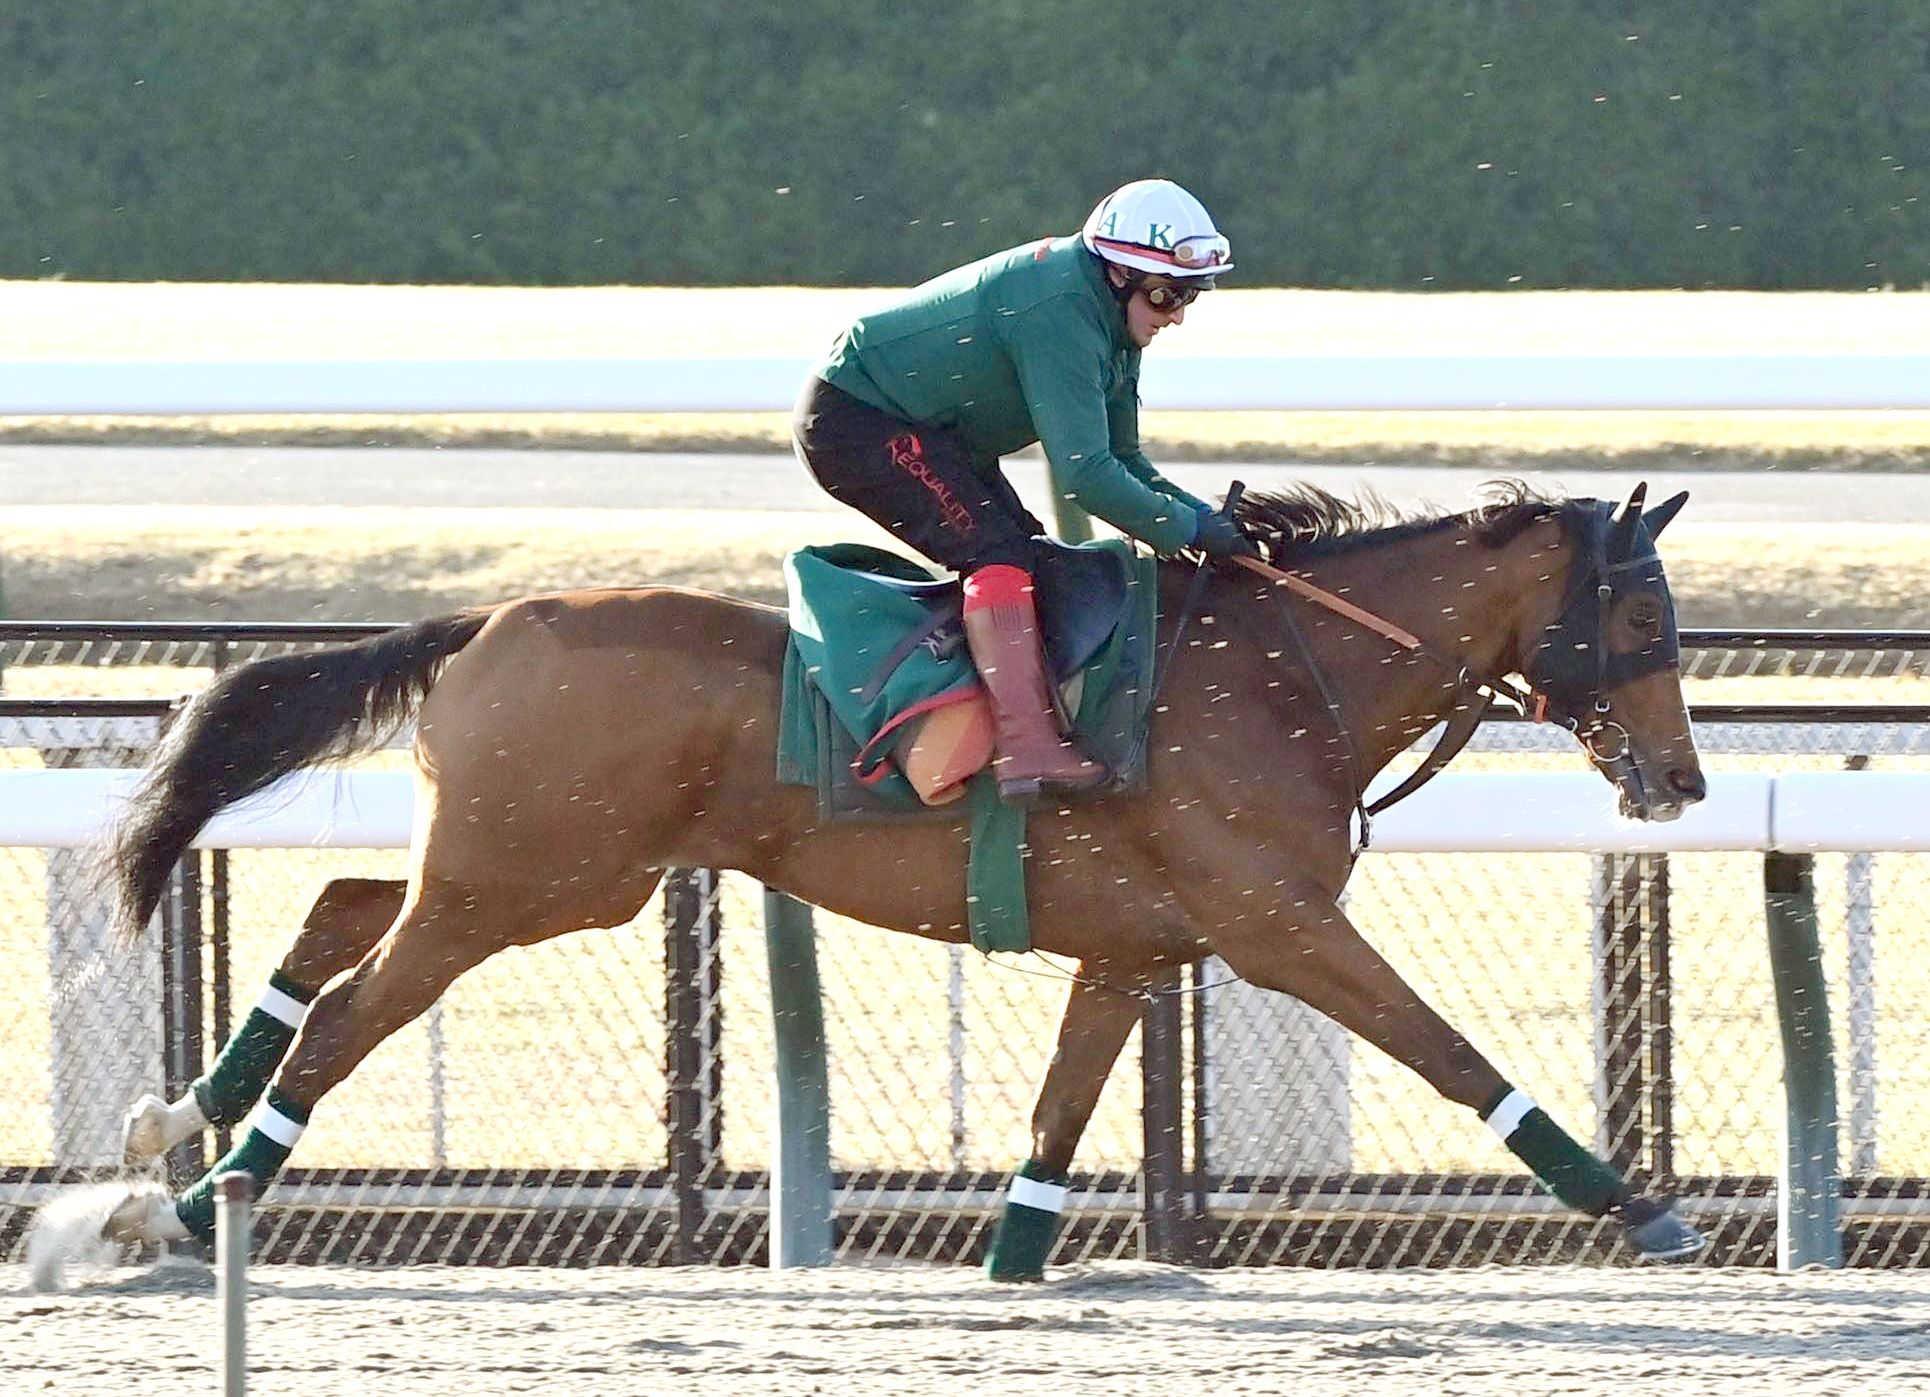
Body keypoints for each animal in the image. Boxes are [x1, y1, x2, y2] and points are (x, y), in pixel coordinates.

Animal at [44, 480, 1710, 1282]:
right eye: (1639, 614)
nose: (1683, 782)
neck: (1277, 671)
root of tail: (488, 618)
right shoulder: (1279, 925)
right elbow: (1453, 1056)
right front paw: (1640, 1209)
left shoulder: (1135, 947)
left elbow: (1054, 1118)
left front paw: (1017, 1264)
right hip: (524, 882)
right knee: (346, 1014)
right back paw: (198, 1194)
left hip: (539, 871)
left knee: (334, 914)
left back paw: (178, 1123)